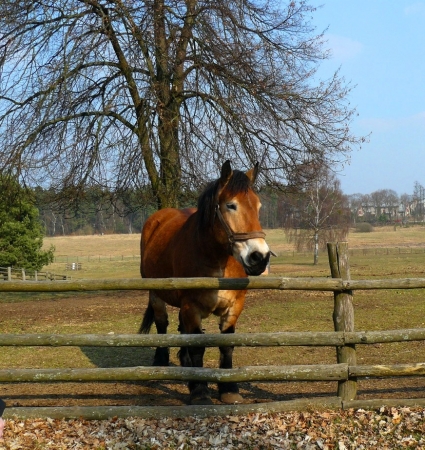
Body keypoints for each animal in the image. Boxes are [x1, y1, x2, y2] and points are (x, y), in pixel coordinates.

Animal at [139, 161, 272, 404]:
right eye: (231, 205)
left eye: (258, 206)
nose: (259, 257)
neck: (216, 259)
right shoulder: (191, 307)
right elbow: (197, 348)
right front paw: (200, 392)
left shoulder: (234, 307)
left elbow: (225, 345)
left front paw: (229, 390)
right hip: (156, 294)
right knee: (162, 324)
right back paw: (162, 362)